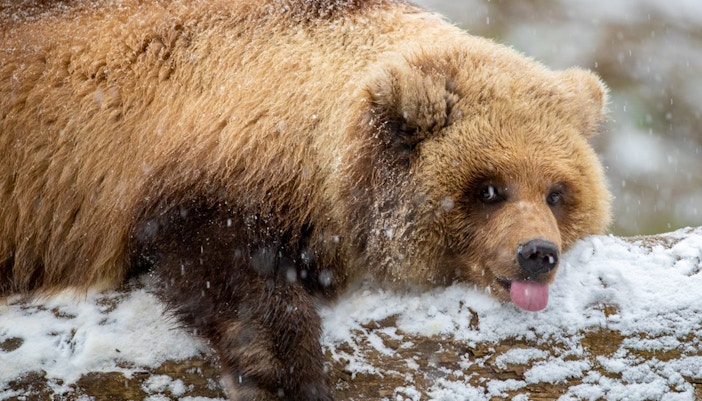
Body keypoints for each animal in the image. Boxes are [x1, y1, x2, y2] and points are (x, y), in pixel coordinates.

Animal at [0, 0, 611, 399]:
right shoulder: (197, 159)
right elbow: (229, 269)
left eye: (557, 192)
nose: (536, 253)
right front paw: (287, 376)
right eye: (488, 187)